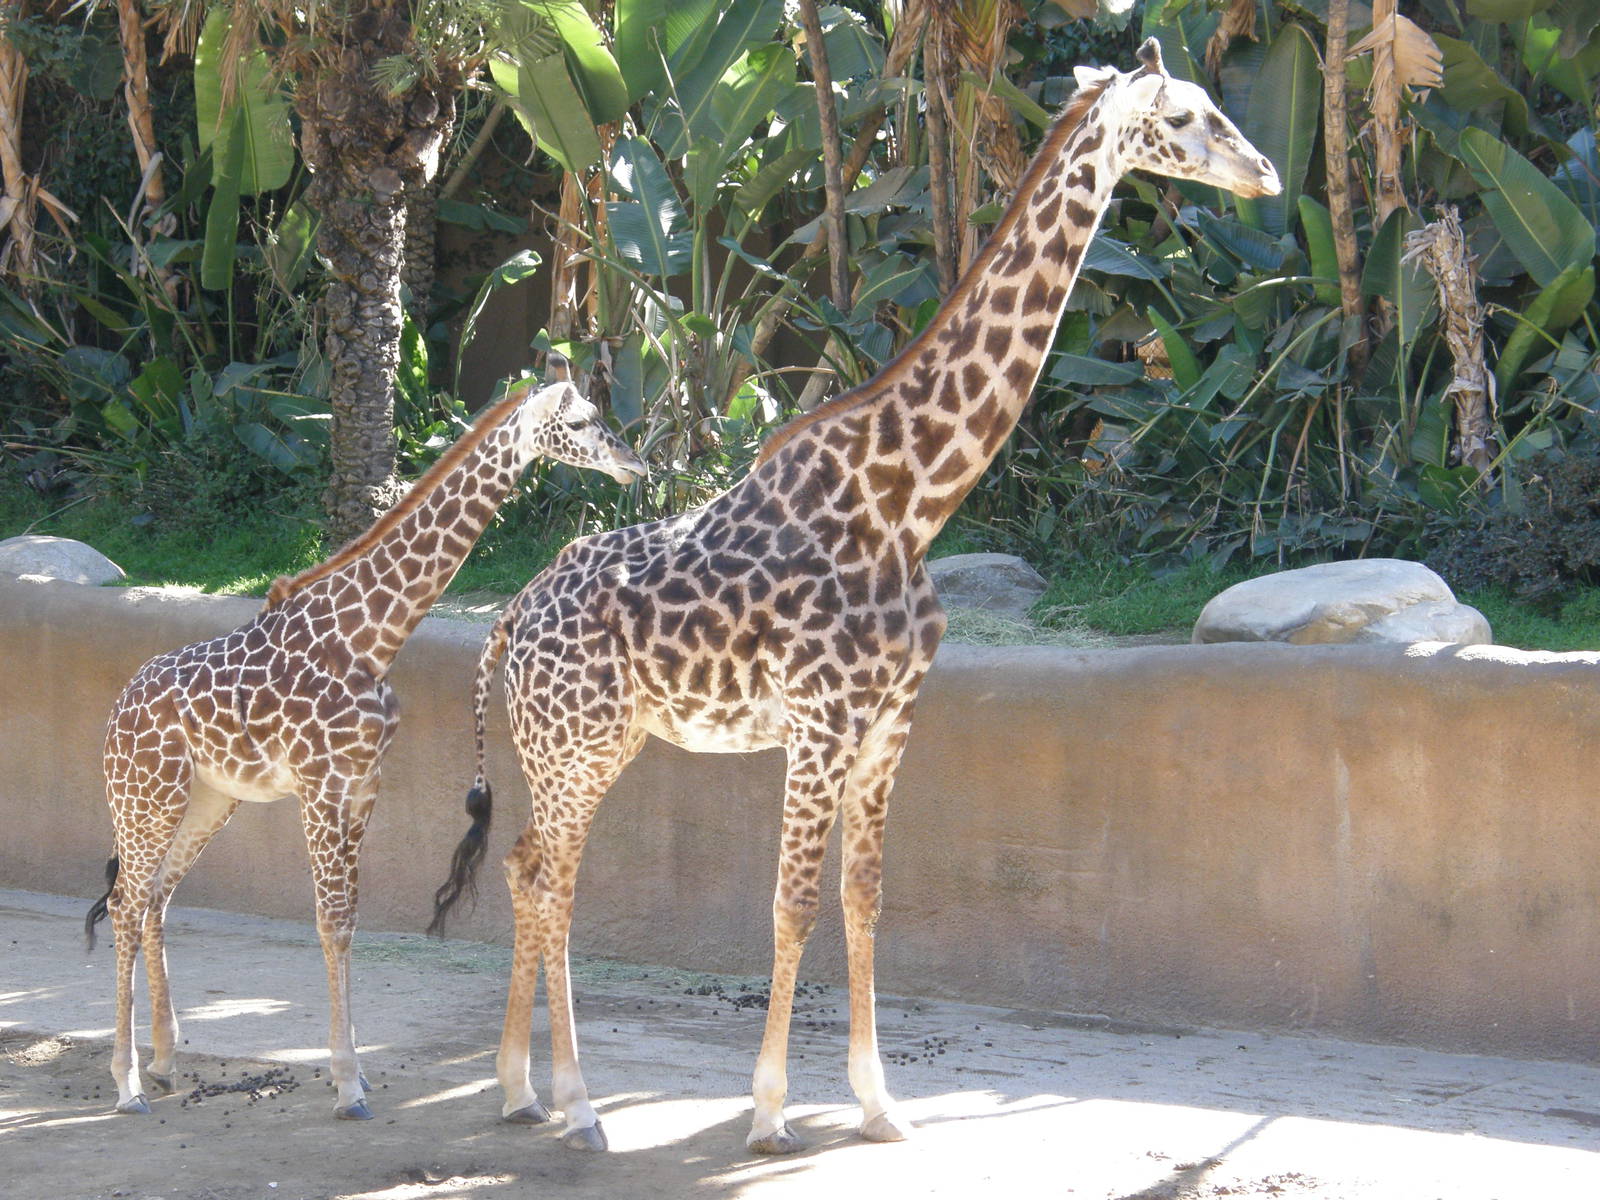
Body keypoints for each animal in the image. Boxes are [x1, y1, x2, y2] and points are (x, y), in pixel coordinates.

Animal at [84, 379, 645, 1120]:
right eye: (580, 422)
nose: (635, 464)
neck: (370, 636)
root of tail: (115, 714)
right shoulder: (319, 784)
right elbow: (330, 921)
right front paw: (348, 1085)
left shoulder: (362, 784)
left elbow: (350, 918)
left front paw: (353, 1074)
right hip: (147, 795)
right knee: (125, 902)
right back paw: (125, 1083)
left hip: (208, 799)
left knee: (154, 897)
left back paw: (166, 1062)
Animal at [429, 40, 1279, 1154]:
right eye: (1184, 116)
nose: (1266, 173)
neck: (909, 502)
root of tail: (504, 625)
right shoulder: (821, 720)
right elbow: (791, 905)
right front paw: (767, 1113)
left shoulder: (890, 722)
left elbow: (865, 897)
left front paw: (880, 1104)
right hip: (575, 745)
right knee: (551, 878)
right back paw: (576, 1102)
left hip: (584, 745)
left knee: (530, 868)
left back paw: (520, 1088)